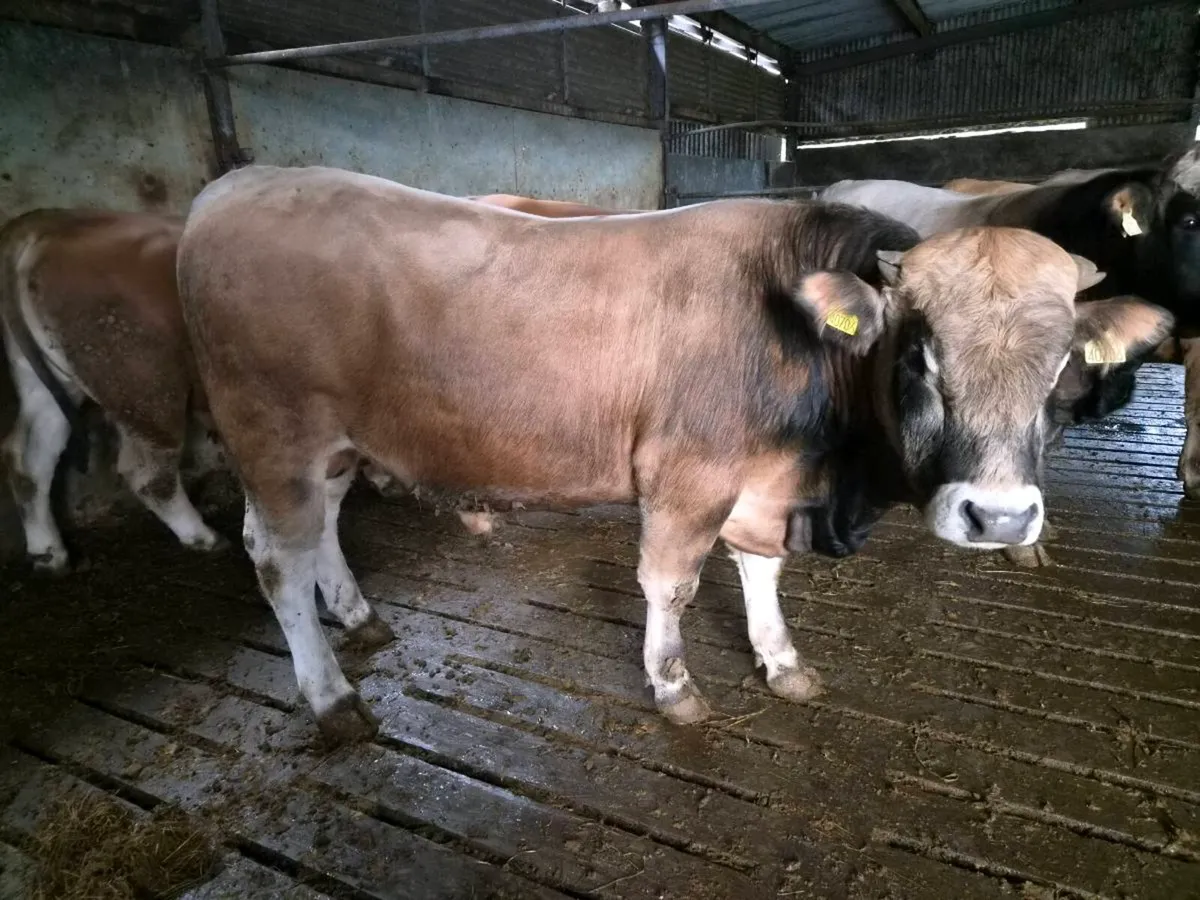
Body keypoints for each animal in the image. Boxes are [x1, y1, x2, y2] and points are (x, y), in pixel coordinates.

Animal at [0, 209, 228, 574]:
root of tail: (57, 222)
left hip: (44, 381)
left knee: (27, 457)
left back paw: (49, 553)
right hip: (145, 387)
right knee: (147, 471)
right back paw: (201, 536)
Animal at [175, 164, 1171, 743]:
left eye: (1061, 367)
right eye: (919, 354)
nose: (998, 517)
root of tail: (235, 185)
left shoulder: (765, 481)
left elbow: (761, 571)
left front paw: (781, 661)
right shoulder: (689, 473)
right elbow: (671, 582)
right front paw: (673, 684)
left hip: (336, 445)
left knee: (320, 536)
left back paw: (358, 615)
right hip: (274, 435)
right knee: (275, 557)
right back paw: (331, 696)